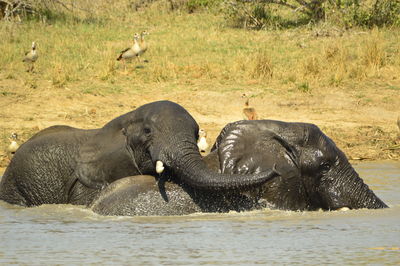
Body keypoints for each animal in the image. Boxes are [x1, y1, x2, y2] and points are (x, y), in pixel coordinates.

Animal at [0, 101, 278, 207]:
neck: (124, 120)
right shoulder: (86, 183)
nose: (275, 168)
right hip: (16, 187)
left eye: (197, 131)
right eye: (147, 132)